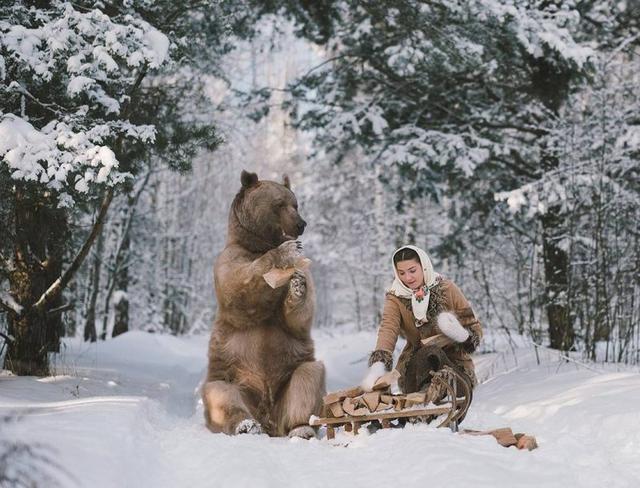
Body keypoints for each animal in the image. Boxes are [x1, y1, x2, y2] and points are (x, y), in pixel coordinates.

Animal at [201, 169, 324, 438]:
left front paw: (297, 287)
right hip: (232, 374)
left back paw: (301, 428)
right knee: (221, 394)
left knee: (308, 377)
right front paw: (284, 252)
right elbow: (238, 288)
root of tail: (268, 418)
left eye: (295, 204)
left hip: (287, 378)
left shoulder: (306, 271)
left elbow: (299, 320)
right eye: (279, 204)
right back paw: (245, 425)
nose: (301, 224)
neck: (258, 244)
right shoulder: (230, 259)